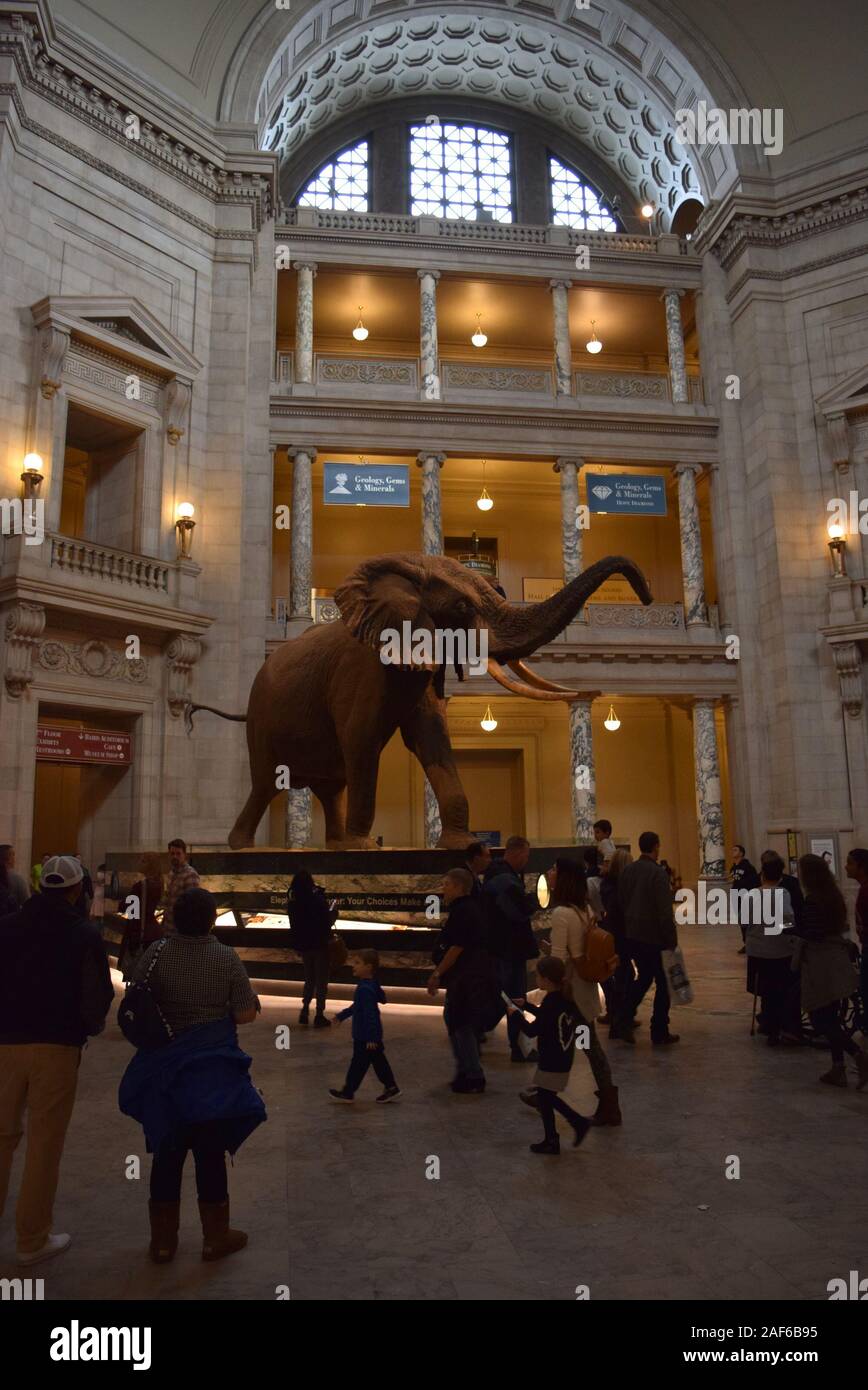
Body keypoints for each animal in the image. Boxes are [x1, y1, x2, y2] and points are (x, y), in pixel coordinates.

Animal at [187, 550, 651, 845]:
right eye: (462, 608)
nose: (646, 595)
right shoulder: (362, 668)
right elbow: (361, 738)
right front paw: (363, 849)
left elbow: (430, 738)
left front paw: (460, 844)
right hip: (262, 717)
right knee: (266, 783)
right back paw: (242, 846)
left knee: (329, 787)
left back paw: (333, 846)